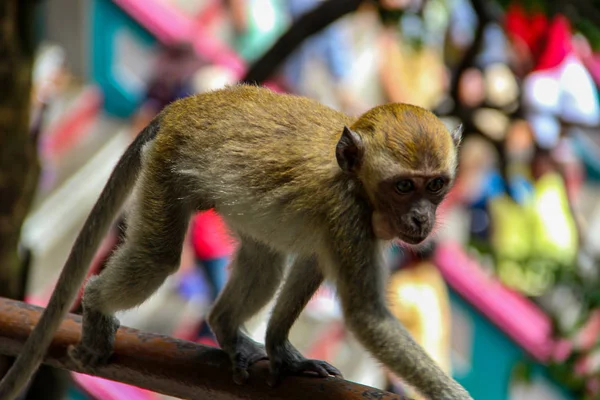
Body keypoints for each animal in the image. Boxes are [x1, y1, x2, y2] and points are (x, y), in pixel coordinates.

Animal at [0, 85, 474, 400]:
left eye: (435, 185)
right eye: (403, 186)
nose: (421, 218)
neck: (355, 181)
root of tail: (186, 105)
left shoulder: (339, 227)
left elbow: (310, 264)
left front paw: (281, 349)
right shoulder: (348, 215)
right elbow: (366, 317)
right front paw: (453, 394)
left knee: (264, 263)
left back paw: (225, 326)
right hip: (168, 167)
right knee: (158, 257)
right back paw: (97, 306)